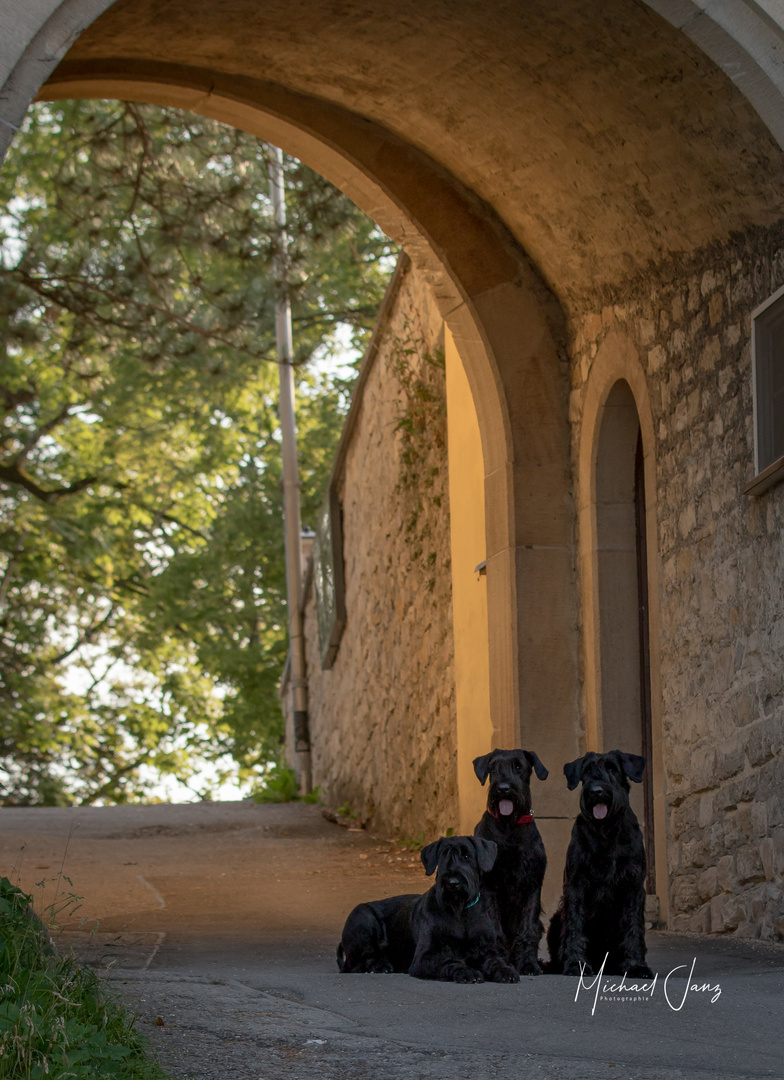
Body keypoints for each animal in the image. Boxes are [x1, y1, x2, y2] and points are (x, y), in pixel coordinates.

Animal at [334, 838, 518, 984]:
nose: (452, 882)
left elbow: (495, 961)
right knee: (357, 964)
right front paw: (467, 972)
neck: (459, 911)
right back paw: (380, 966)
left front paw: (506, 971)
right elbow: (449, 962)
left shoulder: (487, 950)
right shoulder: (424, 958)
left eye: (467, 856)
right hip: (362, 916)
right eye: (443, 855)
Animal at [475, 747, 550, 976]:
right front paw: (499, 961)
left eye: (518, 766)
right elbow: (495, 929)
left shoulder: (532, 884)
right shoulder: (490, 886)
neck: (508, 826)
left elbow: (527, 929)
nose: (503, 789)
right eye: (493, 767)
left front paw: (528, 964)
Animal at [546, 751, 656, 980]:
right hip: (556, 919)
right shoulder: (577, 884)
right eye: (587, 770)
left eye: (613, 768)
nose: (596, 791)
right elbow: (575, 925)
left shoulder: (633, 885)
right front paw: (576, 964)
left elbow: (634, 927)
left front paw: (636, 965)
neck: (607, 830)